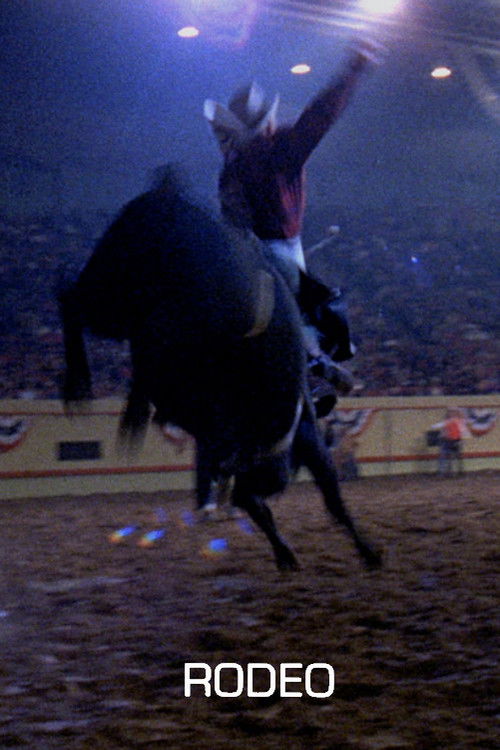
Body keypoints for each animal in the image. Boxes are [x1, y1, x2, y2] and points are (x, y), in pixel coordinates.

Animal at [58, 166, 381, 570]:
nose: (256, 487)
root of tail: (165, 192)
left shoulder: (293, 438)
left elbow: (330, 499)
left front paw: (355, 550)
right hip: (109, 294)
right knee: (69, 297)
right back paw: (78, 388)